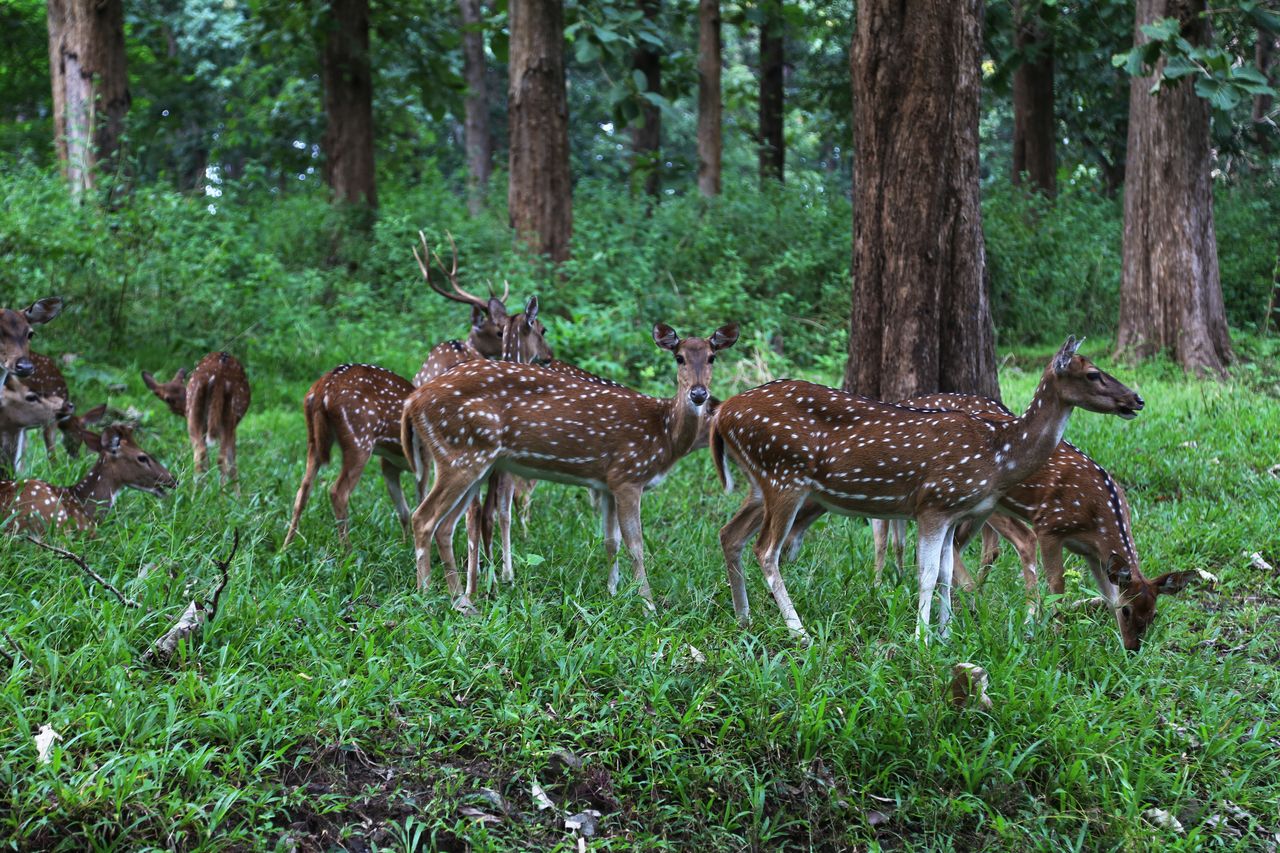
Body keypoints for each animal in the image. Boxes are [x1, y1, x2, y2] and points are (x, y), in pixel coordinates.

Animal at [142, 350, 249, 484]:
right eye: (168, 399)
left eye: (183, 389)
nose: (183, 409)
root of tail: (219, 374)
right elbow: (232, 461)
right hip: (229, 415)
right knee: (221, 458)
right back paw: (221, 490)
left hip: (195, 414)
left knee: (200, 453)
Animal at [399, 322, 742, 607]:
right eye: (679, 357)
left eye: (712, 357)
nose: (699, 394)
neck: (664, 435)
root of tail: (412, 401)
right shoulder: (628, 475)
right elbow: (636, 544)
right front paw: (647, 604)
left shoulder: (607, 483)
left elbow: (611, 541)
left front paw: (613, 593)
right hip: (461, 454)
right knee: (424, 518)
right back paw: (425, 593)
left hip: (472, 460)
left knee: (447, 525)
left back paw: (461, 600)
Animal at [716, 335, 1146, 640]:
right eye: (1093, 373)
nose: (1137, 399)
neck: (998, 455)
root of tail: (722, 414)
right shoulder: (934, 502)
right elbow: (926, 572)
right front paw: (921, 638)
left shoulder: (955, 512)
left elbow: (943, 571)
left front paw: (945, 634)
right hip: (784, 475)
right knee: (765, 550)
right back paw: (799, 632)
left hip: (760, 483)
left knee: (728, 534)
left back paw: (743, 618)